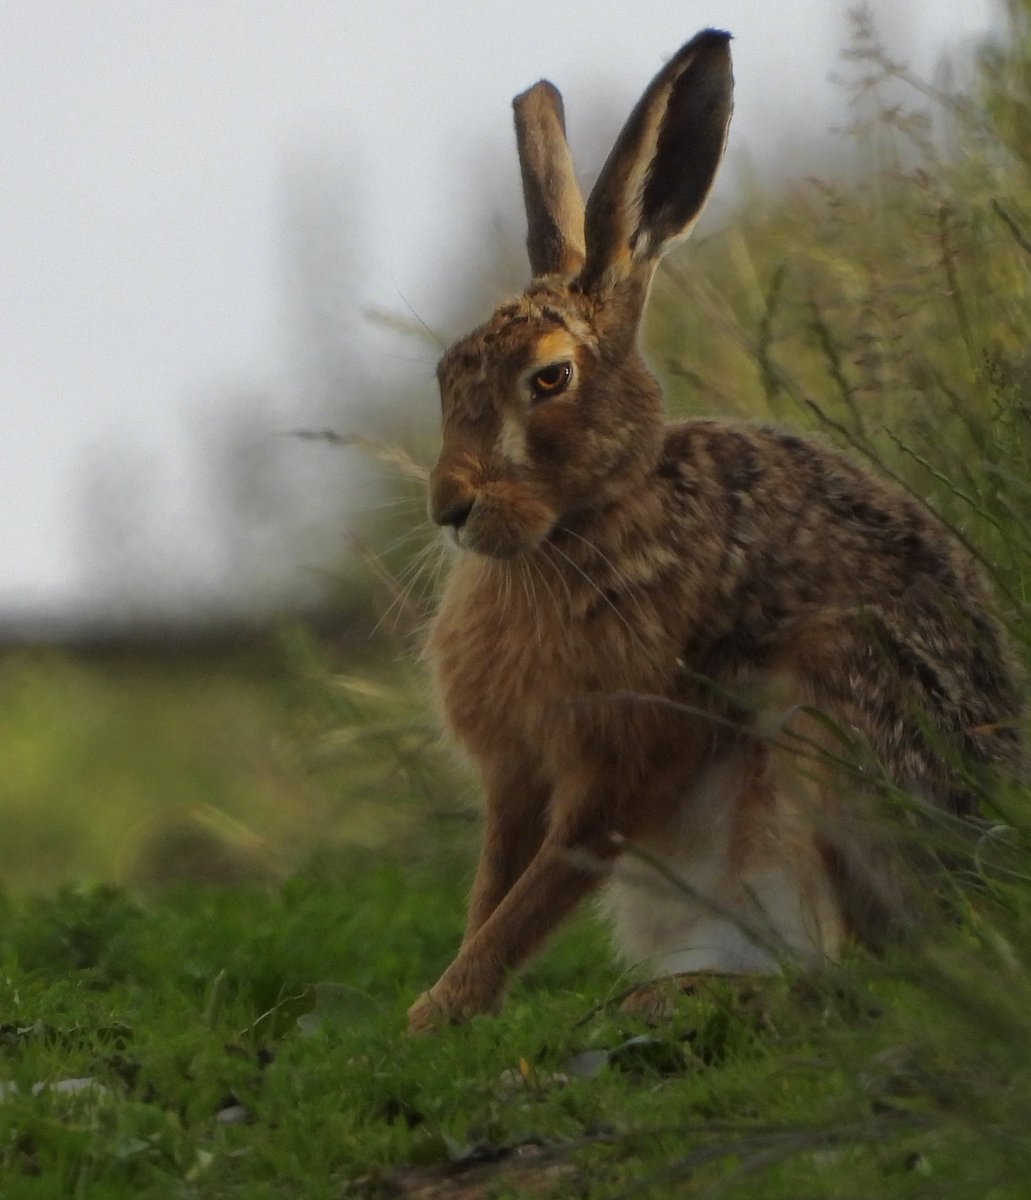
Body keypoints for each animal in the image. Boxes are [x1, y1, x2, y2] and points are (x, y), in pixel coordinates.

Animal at [406, 29, 1025, 1033]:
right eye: (444, 373)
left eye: (549, 379)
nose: (449, 506)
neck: (583, 523)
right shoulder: (518, 774)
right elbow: (496, 883)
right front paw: (450, 1001)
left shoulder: (624, 753)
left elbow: (548, 879)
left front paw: (437, 1011)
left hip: (829, 726)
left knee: (869, 964)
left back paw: (689, 996)